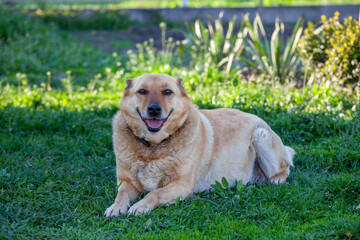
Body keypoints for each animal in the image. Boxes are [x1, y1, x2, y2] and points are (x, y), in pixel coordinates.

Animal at [104, 73, 296, 218]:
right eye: (142, 91)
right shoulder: (127, 182)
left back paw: (277, 179)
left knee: (285, 167)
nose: (154, 109)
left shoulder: (181, 185)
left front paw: (141, 205)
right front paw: (116, 207)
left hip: (260, 135)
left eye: (167, 92)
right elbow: (121, 194)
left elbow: (154, 193)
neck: (153, 146)